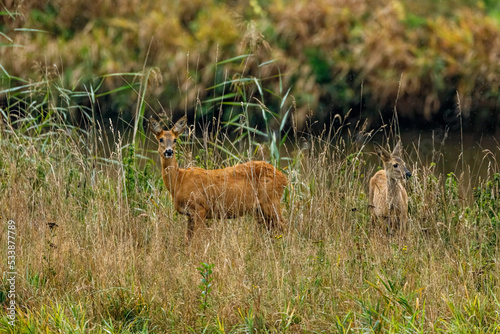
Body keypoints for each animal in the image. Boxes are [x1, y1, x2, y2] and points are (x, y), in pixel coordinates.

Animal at [150, 116, 288, 239]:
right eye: (161, 139)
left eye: (175, 140)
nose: (169, 151)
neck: (179, 181)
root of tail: (284, 178)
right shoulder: (190, 214)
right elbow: (187, 240)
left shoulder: (200, 207)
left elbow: (197, 240)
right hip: (259, 210)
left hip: (271, 200)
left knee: (284, 226)